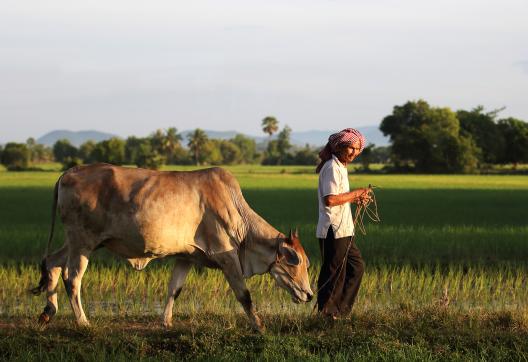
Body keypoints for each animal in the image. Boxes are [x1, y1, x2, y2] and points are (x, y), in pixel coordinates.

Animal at [32, 163, 314, 330]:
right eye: (297, 261)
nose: (310, 295)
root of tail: (68, 173)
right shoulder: (228, 257)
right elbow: (244, 295)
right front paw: (259, 325)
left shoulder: (186, 257)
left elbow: (174, 290)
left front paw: (166, 322)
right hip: (83, 242)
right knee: (72, 279)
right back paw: (83, 321)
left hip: (79, 242)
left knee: (52, 263)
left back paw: (48, 312)